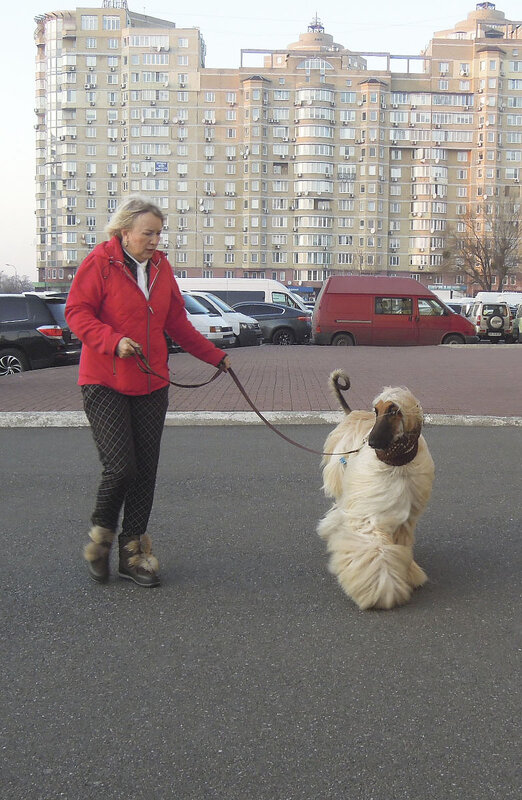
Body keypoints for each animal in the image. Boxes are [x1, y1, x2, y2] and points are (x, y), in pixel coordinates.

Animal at [318, 372, 432, 608]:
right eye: (376, 411)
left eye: (394, 411)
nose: (371, 442)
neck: (396, 465)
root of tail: (352, 414)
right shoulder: (369, 514)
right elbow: (374, 549)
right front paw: (381, 589)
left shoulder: (405, 520)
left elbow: (401, 547)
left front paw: (409, 574)